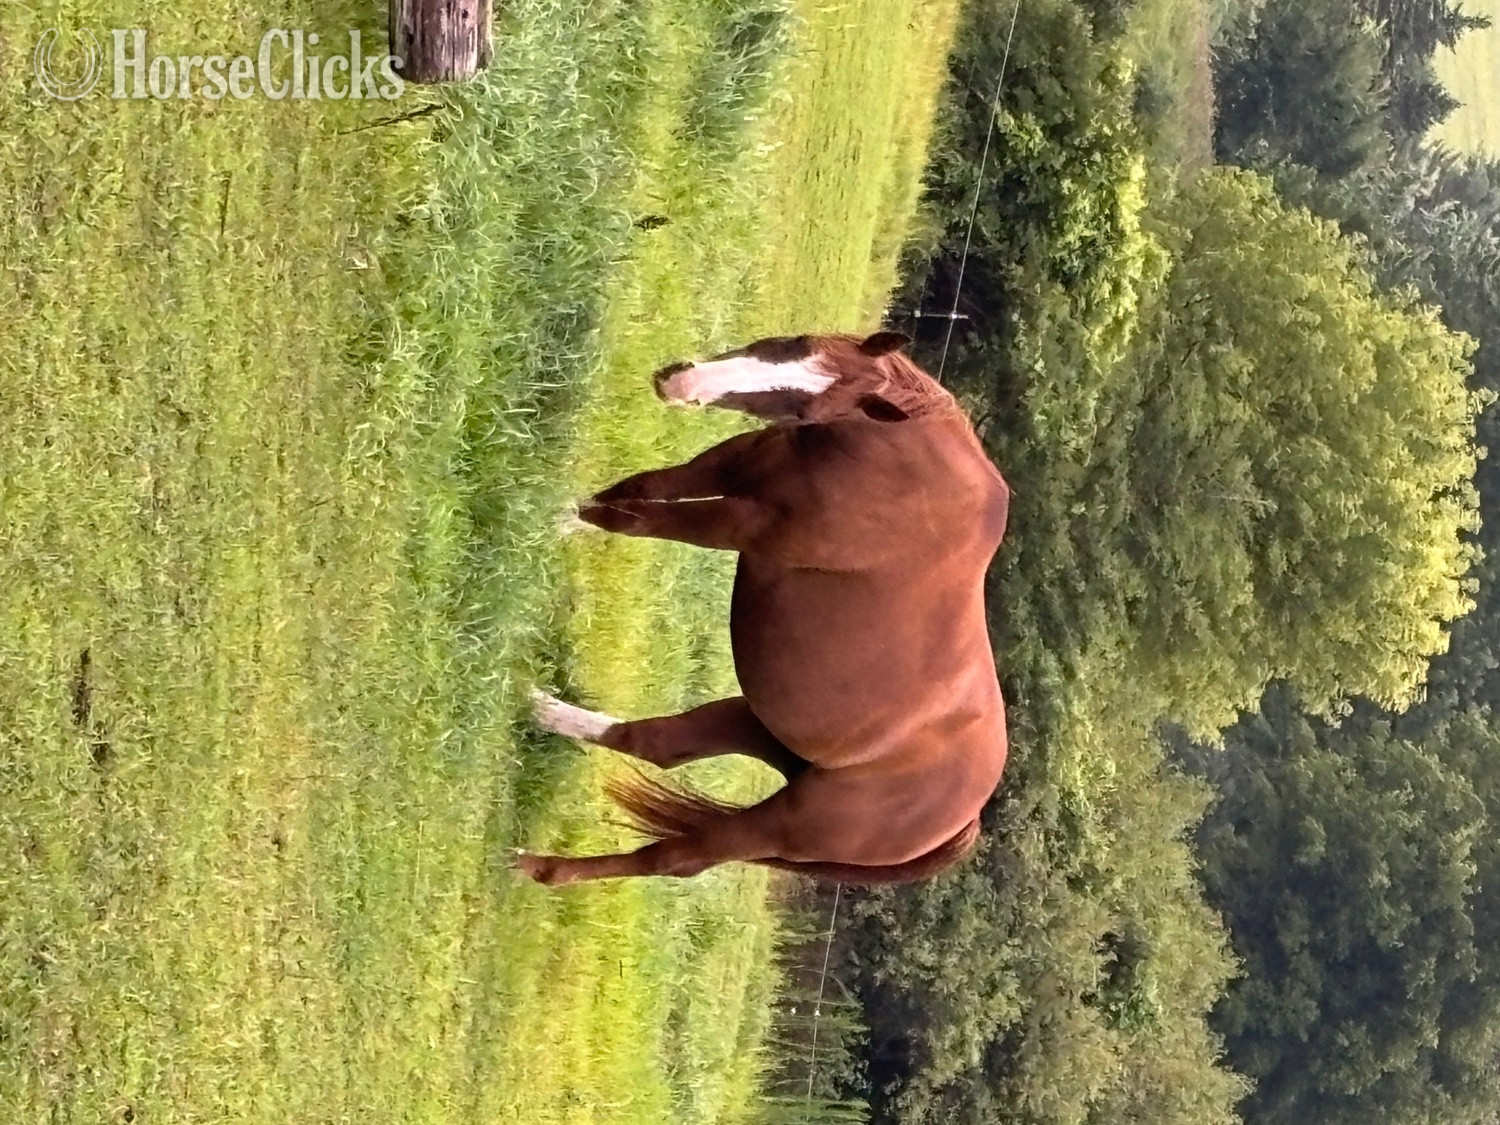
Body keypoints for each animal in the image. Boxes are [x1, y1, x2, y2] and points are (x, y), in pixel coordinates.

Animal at [517, 330, 1011, 887]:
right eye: (792, 344)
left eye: (807, 407)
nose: (681, 383)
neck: (890, 463)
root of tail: (964, 818)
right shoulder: (722, 468)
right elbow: (632, 490)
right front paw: (555, 510)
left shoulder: (736, 523)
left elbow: (627, 519)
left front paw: (549, 519)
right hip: (751, 724)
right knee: (655, 743)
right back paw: (534, 705)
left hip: (783, 825)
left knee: (675, 859)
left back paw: (538, 867)